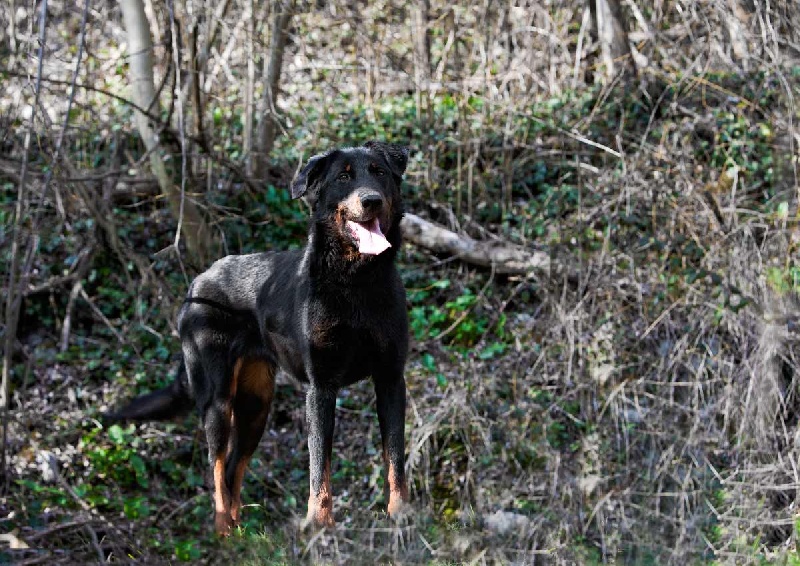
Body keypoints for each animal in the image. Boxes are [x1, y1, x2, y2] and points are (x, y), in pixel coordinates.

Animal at [109, 142, 410, 536]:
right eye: (343, 177)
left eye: (379, 172)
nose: (371, 200)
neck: (356, 283)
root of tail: (196, 284)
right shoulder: (321, 386)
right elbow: (319, 464)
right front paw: (320, 523)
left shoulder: (390, 378)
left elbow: (395, 457)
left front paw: (401, 515)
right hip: (217, 400)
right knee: (217, 467)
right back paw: (223, 530)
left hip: (256, 405)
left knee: (233, 467)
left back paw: (240, 534)